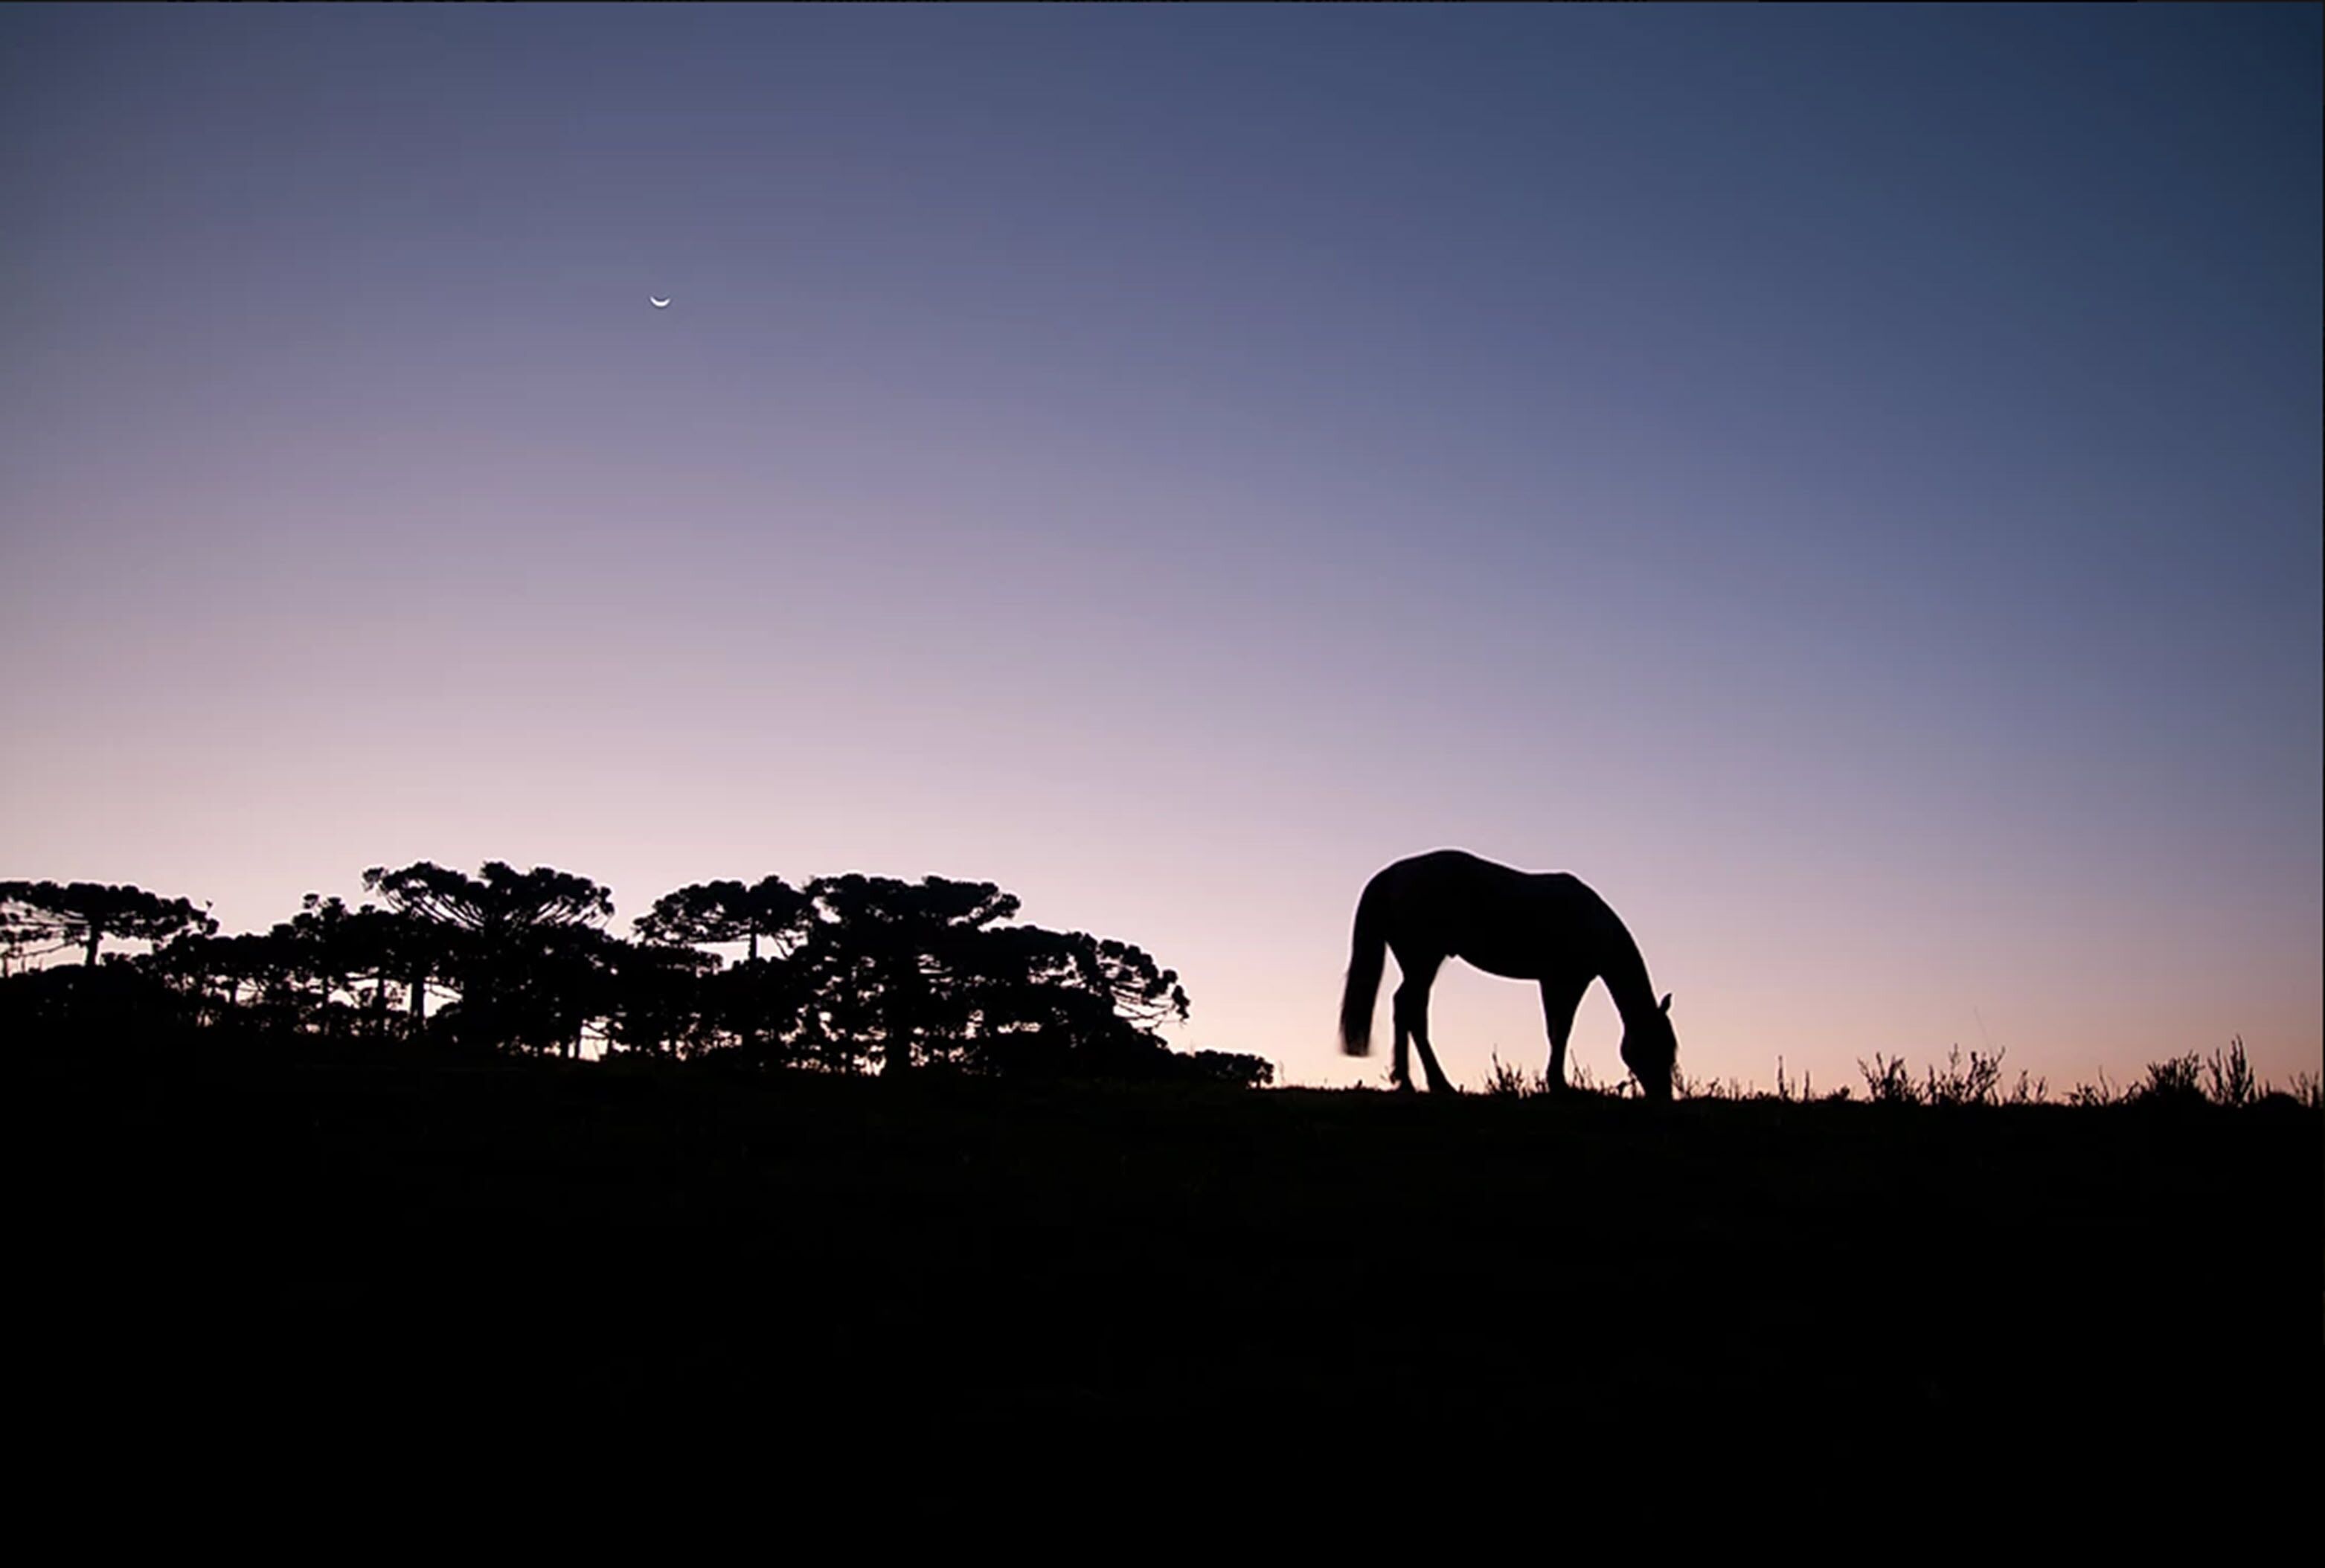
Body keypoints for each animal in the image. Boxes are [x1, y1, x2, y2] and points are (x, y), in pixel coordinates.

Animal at [1338, 849, 1677, 1099]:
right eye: (1655, 1045)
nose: (1663, 1096)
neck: (1593, 923)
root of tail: (1392, 874)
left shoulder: (1551, 981)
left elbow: (1555, 1029)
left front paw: (1555, 1082)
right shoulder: (1569, 980)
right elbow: (1562, 1030)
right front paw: (1558, 1084)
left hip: (1418, 964)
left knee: (1406, 1008)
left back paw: (1410, 1081)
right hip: (1424, 961)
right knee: (1411, 1009)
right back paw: (1434, 1084)